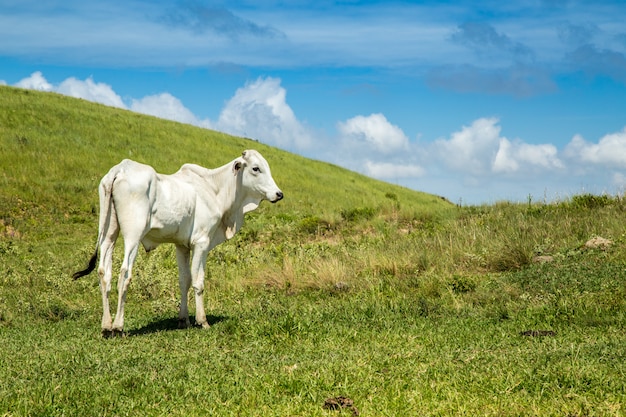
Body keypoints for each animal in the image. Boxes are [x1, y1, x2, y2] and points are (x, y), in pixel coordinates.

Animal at [72, 150, 282, 334]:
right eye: (255, 168)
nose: (279, 194)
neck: (214, 189)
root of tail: (120, 169)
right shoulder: (201, 242)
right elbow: (198, 281)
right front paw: (202, 321)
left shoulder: (182, 246)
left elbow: (184, 280)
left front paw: (184, 320)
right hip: (133, 235)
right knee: (124, 273)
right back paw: (118, 326)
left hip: (108, 233)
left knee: (103, 272)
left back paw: (106, 326)